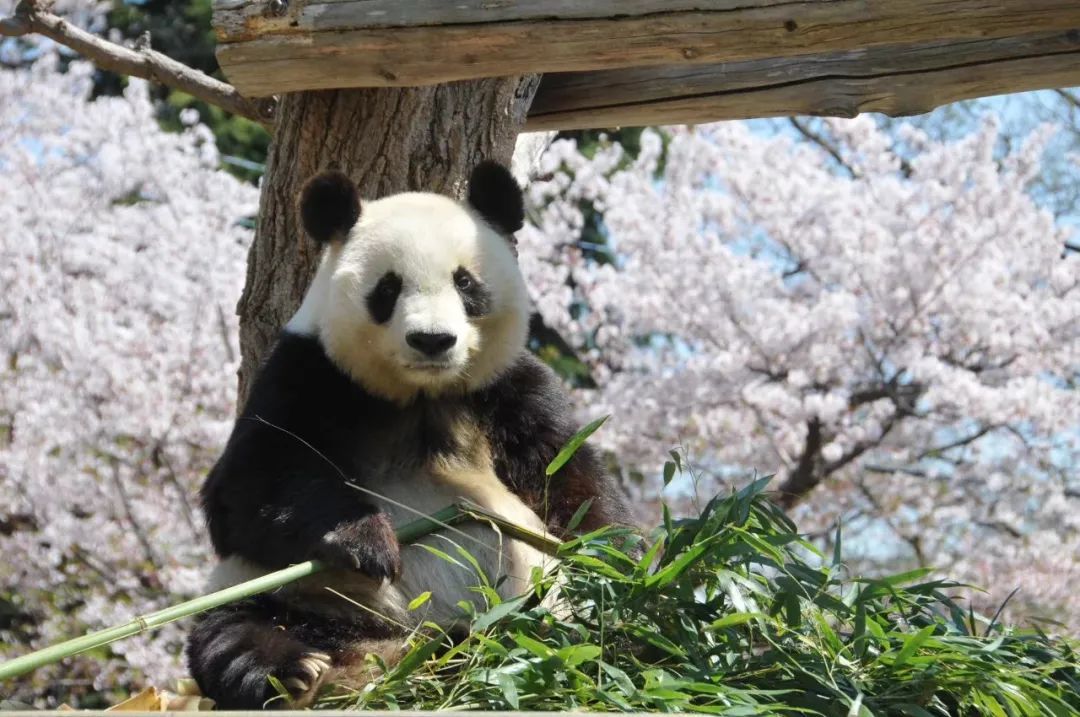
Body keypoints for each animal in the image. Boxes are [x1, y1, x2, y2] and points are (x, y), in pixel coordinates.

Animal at [186, 160, 635, 704]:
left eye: (465, 283)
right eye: (388, 288)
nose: (432, 340)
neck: (422, 394)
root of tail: (395, 654)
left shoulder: (508, 389)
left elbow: (571, 479)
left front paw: (621, 566)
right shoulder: (308, 374)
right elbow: (247, 488)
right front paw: (366, 541)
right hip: (295, 594)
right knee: (233, 628)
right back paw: (292, 669)